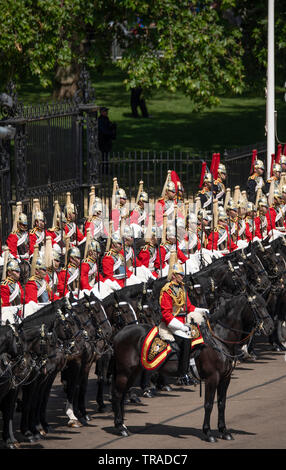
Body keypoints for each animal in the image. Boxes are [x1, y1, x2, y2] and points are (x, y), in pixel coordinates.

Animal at [110, 292, 274, 442]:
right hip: (124, 372)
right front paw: (208, 433)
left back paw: (123, 425)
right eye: (256, 306)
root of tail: (119, 333)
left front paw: (224, 431)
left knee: (123, 395)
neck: (219, 339)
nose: (270, 327)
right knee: (117, 394)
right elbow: (208, 404)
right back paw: (120, 427)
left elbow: (222, 403)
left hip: (133, 372)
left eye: (265, 304)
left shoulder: (225, 378)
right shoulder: (212, 378)